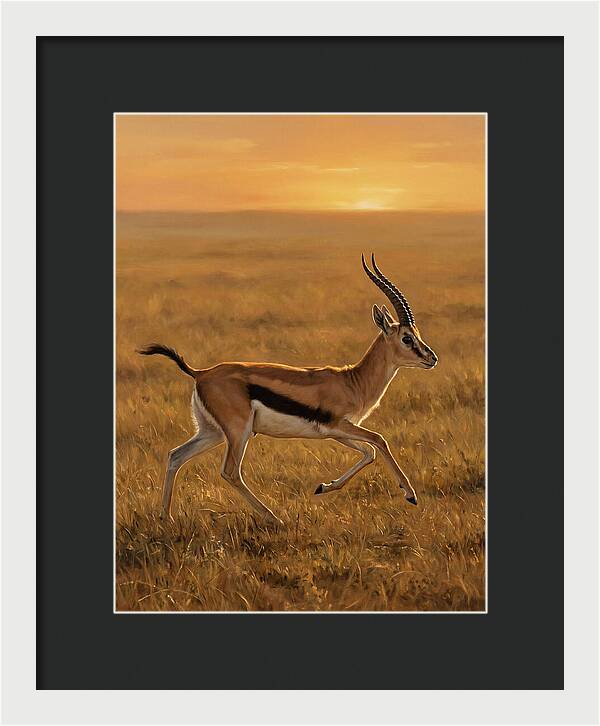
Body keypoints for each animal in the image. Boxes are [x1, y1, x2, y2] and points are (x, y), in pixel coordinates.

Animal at [138, 254, 437, 526]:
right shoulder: (339, 425)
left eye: (417, 334)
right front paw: (410, 495)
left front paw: (323, 487)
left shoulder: (336, 432)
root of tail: (201, 372)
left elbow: (369, 452)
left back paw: (166, 517)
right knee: (230, 472)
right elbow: (379, 440)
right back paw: (274, 518)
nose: (432, 358)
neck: (353, 381)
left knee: (176, 455)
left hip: (212, 432)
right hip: (238, 431)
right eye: (406, 338)